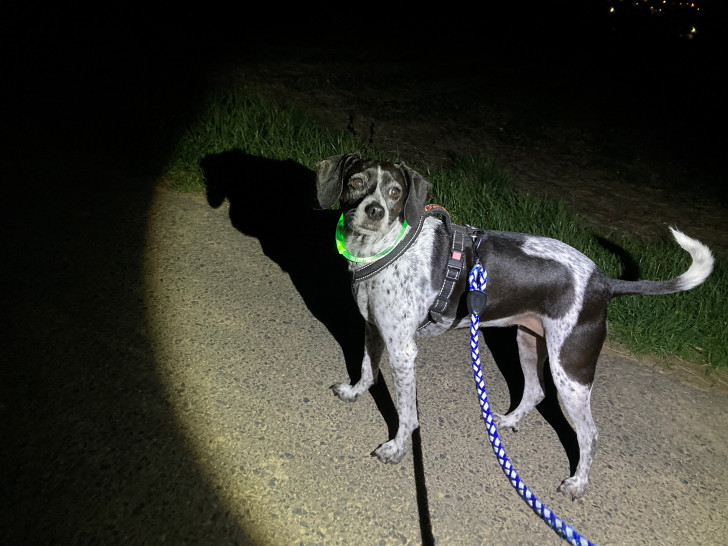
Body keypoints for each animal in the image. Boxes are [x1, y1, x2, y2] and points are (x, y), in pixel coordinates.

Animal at [316, 150, 712, 498]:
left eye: (396, 192)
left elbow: (406, 413)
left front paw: (397, 448)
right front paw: (354, 392)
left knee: (590, 434)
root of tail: (604, 282)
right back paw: (505, 422)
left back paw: (578, 483)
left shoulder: (403, 350)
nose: (375, 211)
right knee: (535, 392)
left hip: (570, 373)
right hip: (528, 342)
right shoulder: (373, 329)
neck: (384, 250)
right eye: (356, 182)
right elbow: (366, 369)